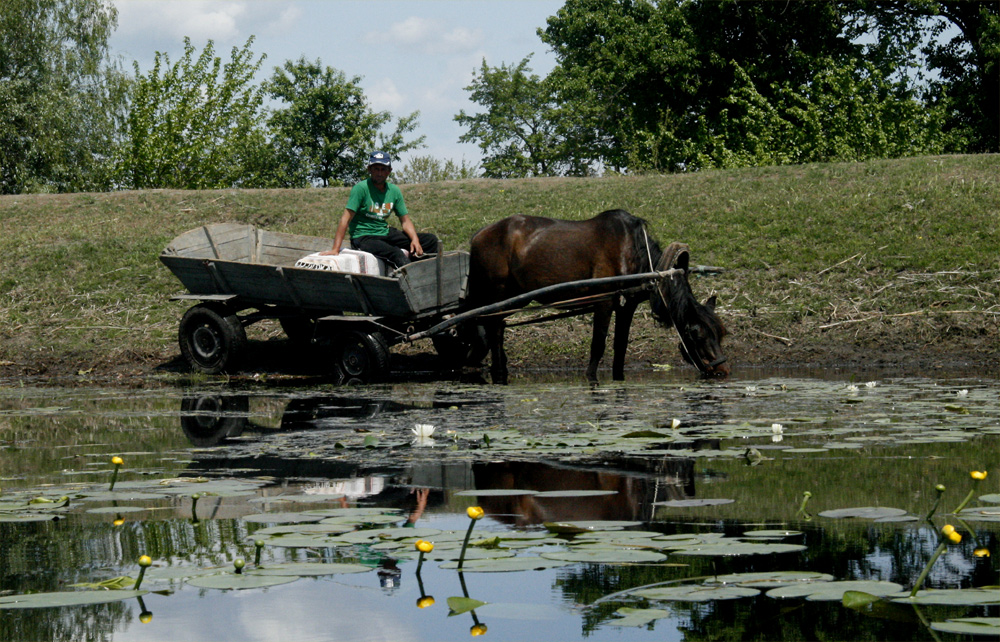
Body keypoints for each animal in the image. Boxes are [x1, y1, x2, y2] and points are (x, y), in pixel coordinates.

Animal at [464, 209, 732, 380]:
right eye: (696, 333)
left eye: (721, 332)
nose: (722, 371)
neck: (632, 252)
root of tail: (478, 235)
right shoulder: (604, 302)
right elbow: (598, 345)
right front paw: (591, 377)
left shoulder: (626, 305)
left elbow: (620, 346)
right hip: (499, 294)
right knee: (495, 330)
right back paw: (499, 371)